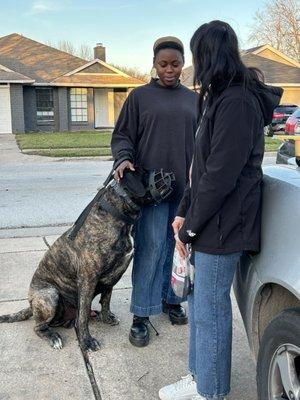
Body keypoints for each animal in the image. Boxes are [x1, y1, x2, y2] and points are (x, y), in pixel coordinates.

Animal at [0, 168, 173, 350]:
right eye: (147, 172)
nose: (171, 173)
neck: (117, 217)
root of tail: (31, 305)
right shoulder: (88, 278)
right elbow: (82, 316)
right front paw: (86, 341)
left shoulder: (111, 277)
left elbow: (106, 299)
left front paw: (106, 317)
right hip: (49, 295)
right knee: (39, 326)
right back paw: (53, 337)